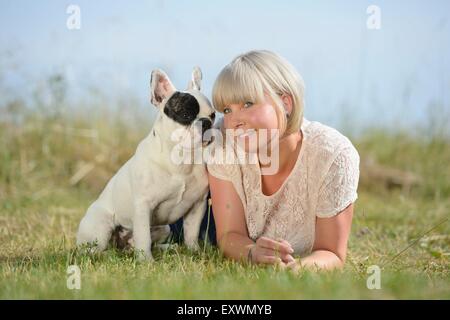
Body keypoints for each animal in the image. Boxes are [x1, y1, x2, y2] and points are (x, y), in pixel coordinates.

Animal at [76, 67, 215, 260]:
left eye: (213, 115)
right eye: (186, 115)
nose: (206, 122)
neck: (181, 159)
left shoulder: (197, 205)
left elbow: (191, 233)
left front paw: (194, 251)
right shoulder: (143, 206)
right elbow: (143, 237)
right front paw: (146, 261)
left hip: (163, 228)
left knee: (140, 243)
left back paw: (166, 248)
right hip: (101, 226)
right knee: (94, 248)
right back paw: (105, 254)